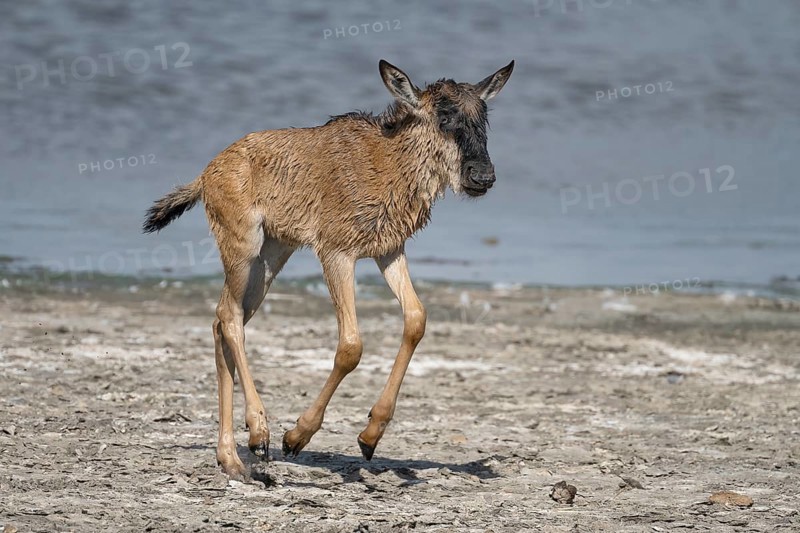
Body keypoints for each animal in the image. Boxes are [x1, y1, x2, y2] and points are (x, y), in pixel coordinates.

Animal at [143, 59, 514, 478]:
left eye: (483, 115)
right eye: (444, 116)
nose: (482, 176)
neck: (388, 161)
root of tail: (206, 174)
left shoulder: (389, 251)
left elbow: (416, 320)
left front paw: (370, 436)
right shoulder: (337, 253)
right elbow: (351, 345)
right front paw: (296, 436)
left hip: (272, 256)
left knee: (222, 320)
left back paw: (229, 457)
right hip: (243, 247)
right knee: (229, 316)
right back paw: (258, 433)